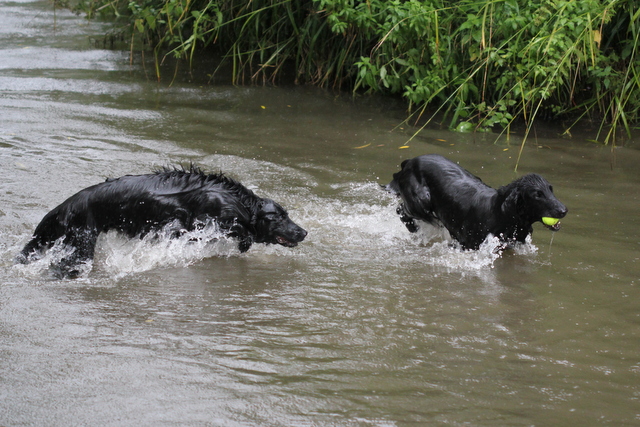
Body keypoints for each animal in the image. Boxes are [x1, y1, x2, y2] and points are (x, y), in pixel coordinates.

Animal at [18, 165, 307, 277]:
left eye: (287, 214)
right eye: (280, 217)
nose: (304, 232)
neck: (239, 203)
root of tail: (62, 207)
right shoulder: (193, 227)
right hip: (81, 246)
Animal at [386, 154, 567, 250]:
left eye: (550, 189)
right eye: (538, 195)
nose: (564, 210)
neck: (501, 213)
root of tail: (410, 161)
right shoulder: (470, 245)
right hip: (421, 200)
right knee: (401, 211)